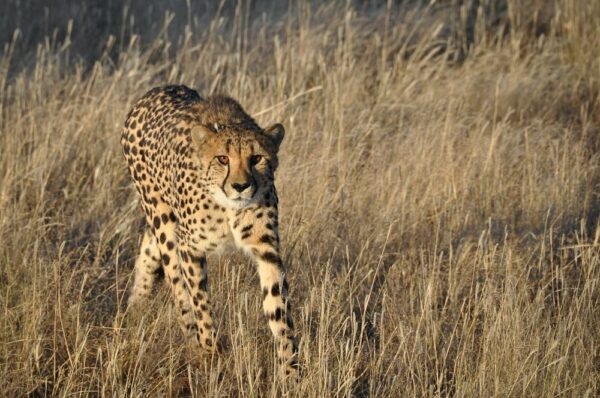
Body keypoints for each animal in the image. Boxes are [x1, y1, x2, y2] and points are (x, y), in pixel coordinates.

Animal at [121, 84, 298, 376]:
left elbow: (278, 309)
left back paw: (136, 306)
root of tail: (158, 89)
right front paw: (210, 351)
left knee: (147, 253)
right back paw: (190, 339)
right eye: (222, 159)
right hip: (164, 222)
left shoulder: (266, 248)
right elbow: (200, 302)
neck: (228, 208)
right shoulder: (190, 247)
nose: (241, 186)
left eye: (257, 158)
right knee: (178, 288)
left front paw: (290, 370)